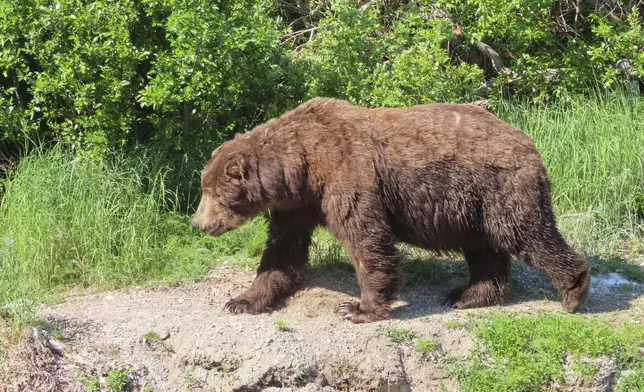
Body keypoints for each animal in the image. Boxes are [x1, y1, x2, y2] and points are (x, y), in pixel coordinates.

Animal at [192, 99, 592, 324]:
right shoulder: (297, 205)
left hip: (498, 189)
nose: (198, 223)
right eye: (203, 187)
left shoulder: (346, 176)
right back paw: (467, 295)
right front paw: (242, 301)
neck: (302, 167)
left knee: (527, 233)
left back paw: (573, 289)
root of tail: (528, 141)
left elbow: (366, 239)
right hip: (472, 207)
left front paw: (356, 309)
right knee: (484, 250)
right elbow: (281, 251)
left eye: (212, 192)